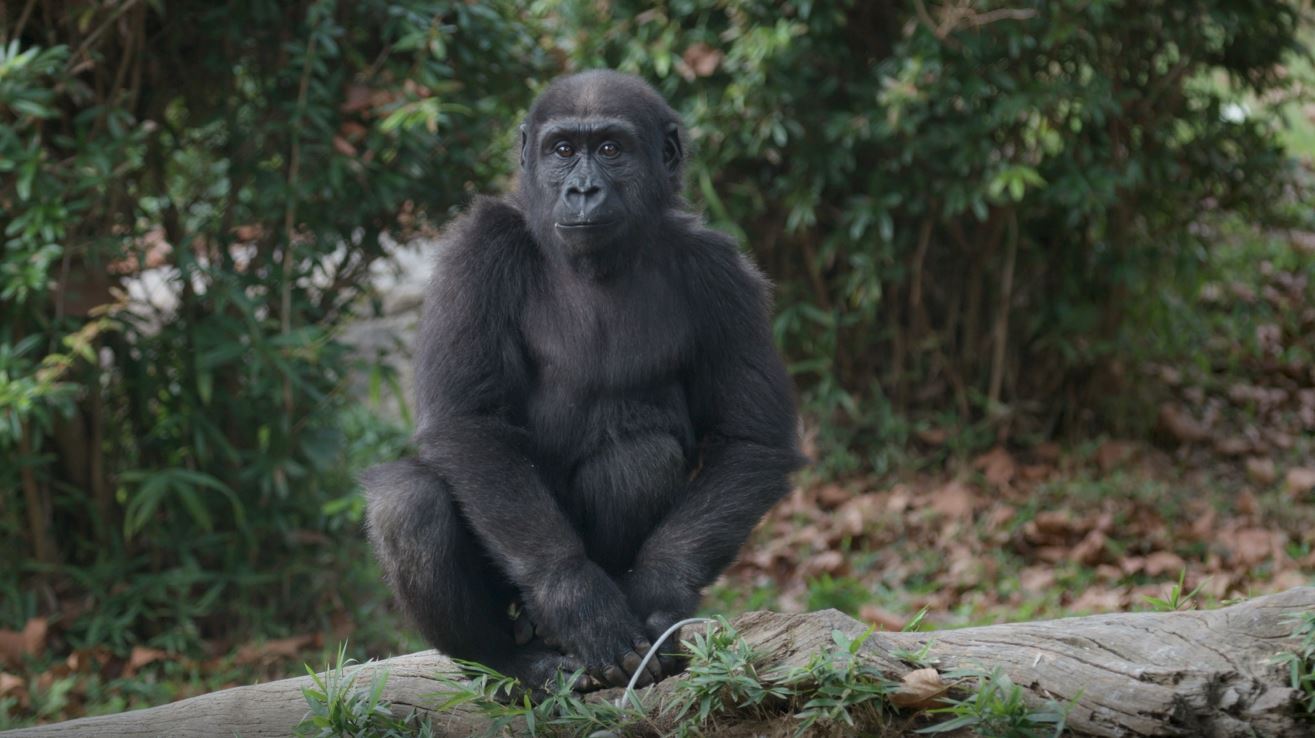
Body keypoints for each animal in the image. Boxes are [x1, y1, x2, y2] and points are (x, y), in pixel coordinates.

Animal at [365, 70, 804, 689]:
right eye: (564, 150)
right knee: (407, 505)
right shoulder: (477, 249)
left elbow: (750, 441)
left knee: (639, 457)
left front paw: (656, 591)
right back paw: (511, 661)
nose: (582, 191)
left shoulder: (723, 275)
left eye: (611, 149)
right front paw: (576, 599)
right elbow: (467, 424)